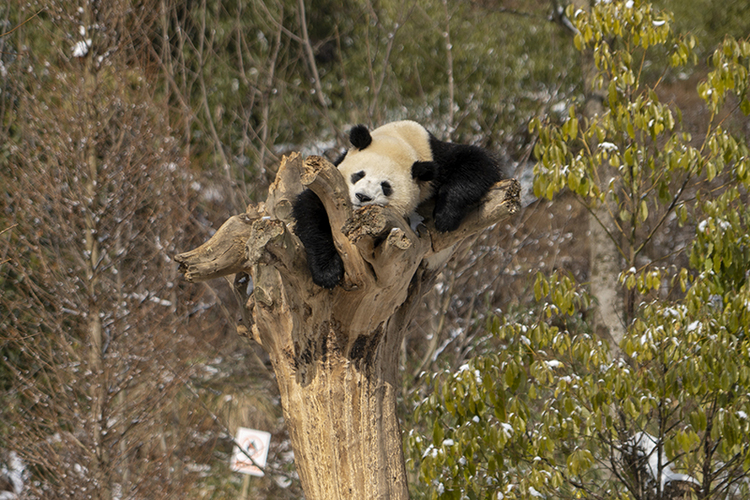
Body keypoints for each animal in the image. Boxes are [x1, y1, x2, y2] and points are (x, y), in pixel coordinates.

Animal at [294, 120, 506, 290]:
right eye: (358, 175)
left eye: (386, 186)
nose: (363, 197)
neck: (402, 138)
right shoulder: (329, 182)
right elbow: (311, 211)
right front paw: (327, 273)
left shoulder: (436, 158)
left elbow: (479, 162)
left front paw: (446, 216)